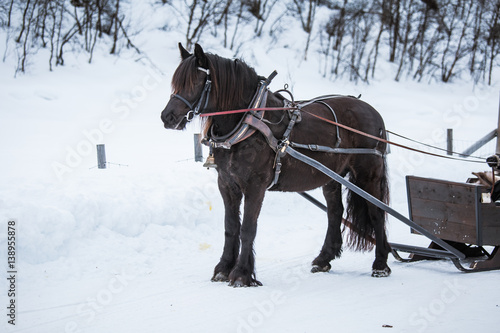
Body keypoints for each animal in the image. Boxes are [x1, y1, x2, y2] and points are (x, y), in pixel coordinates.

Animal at [160, 42, 390, 284]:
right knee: (335, 212)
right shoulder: (227, 183)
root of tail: (373, 112)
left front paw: (241, 274)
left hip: (368, 174)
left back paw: (380, 264)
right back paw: (324, 258)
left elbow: (248, 229)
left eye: (194, 82)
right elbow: (231, 227)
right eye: (176, 83)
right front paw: (223, 268)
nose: (167, 117)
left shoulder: (255, 185)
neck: (248, 121)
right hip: (331, 177)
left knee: (377, 212)